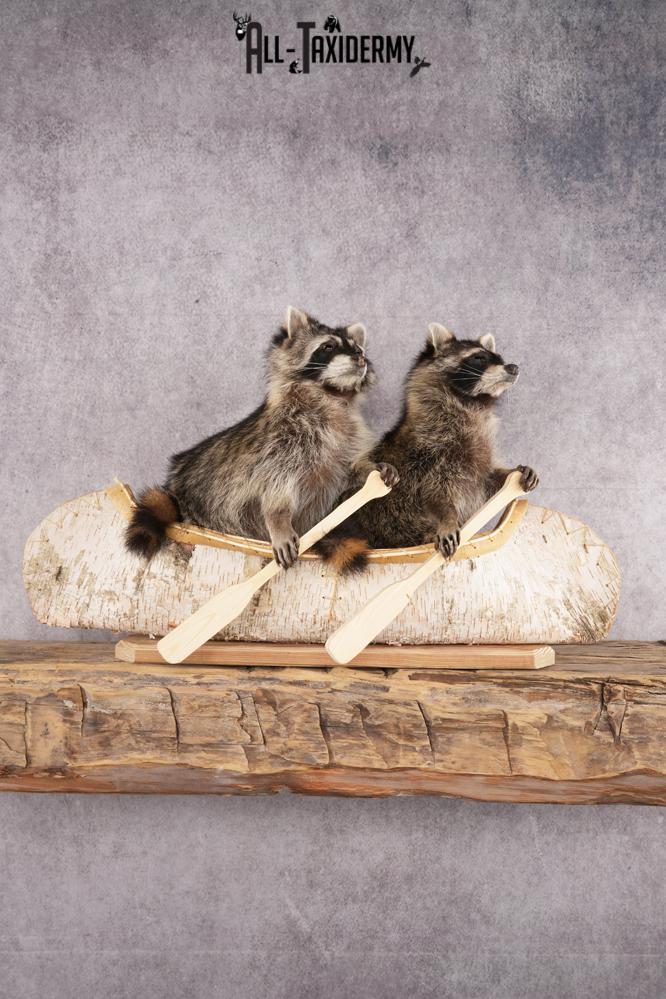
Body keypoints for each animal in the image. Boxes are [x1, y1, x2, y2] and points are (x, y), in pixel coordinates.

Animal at [125, 307, 398, 568]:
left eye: (358, 348)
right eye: (327, 347)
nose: (360, 358)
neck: (331, 397)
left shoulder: (347, 439)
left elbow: (350, 469)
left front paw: (370, 468)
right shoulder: (282, 441)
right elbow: (274, 484)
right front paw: (277, 518)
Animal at [321, 322, 538, 570]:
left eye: (499, 357)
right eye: (479, 358)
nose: (513, 367)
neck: (470, 404)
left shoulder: (479, 455)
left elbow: (489, 479)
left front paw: (513, 472)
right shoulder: (432, 452)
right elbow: (435, 491)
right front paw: (447, 517)